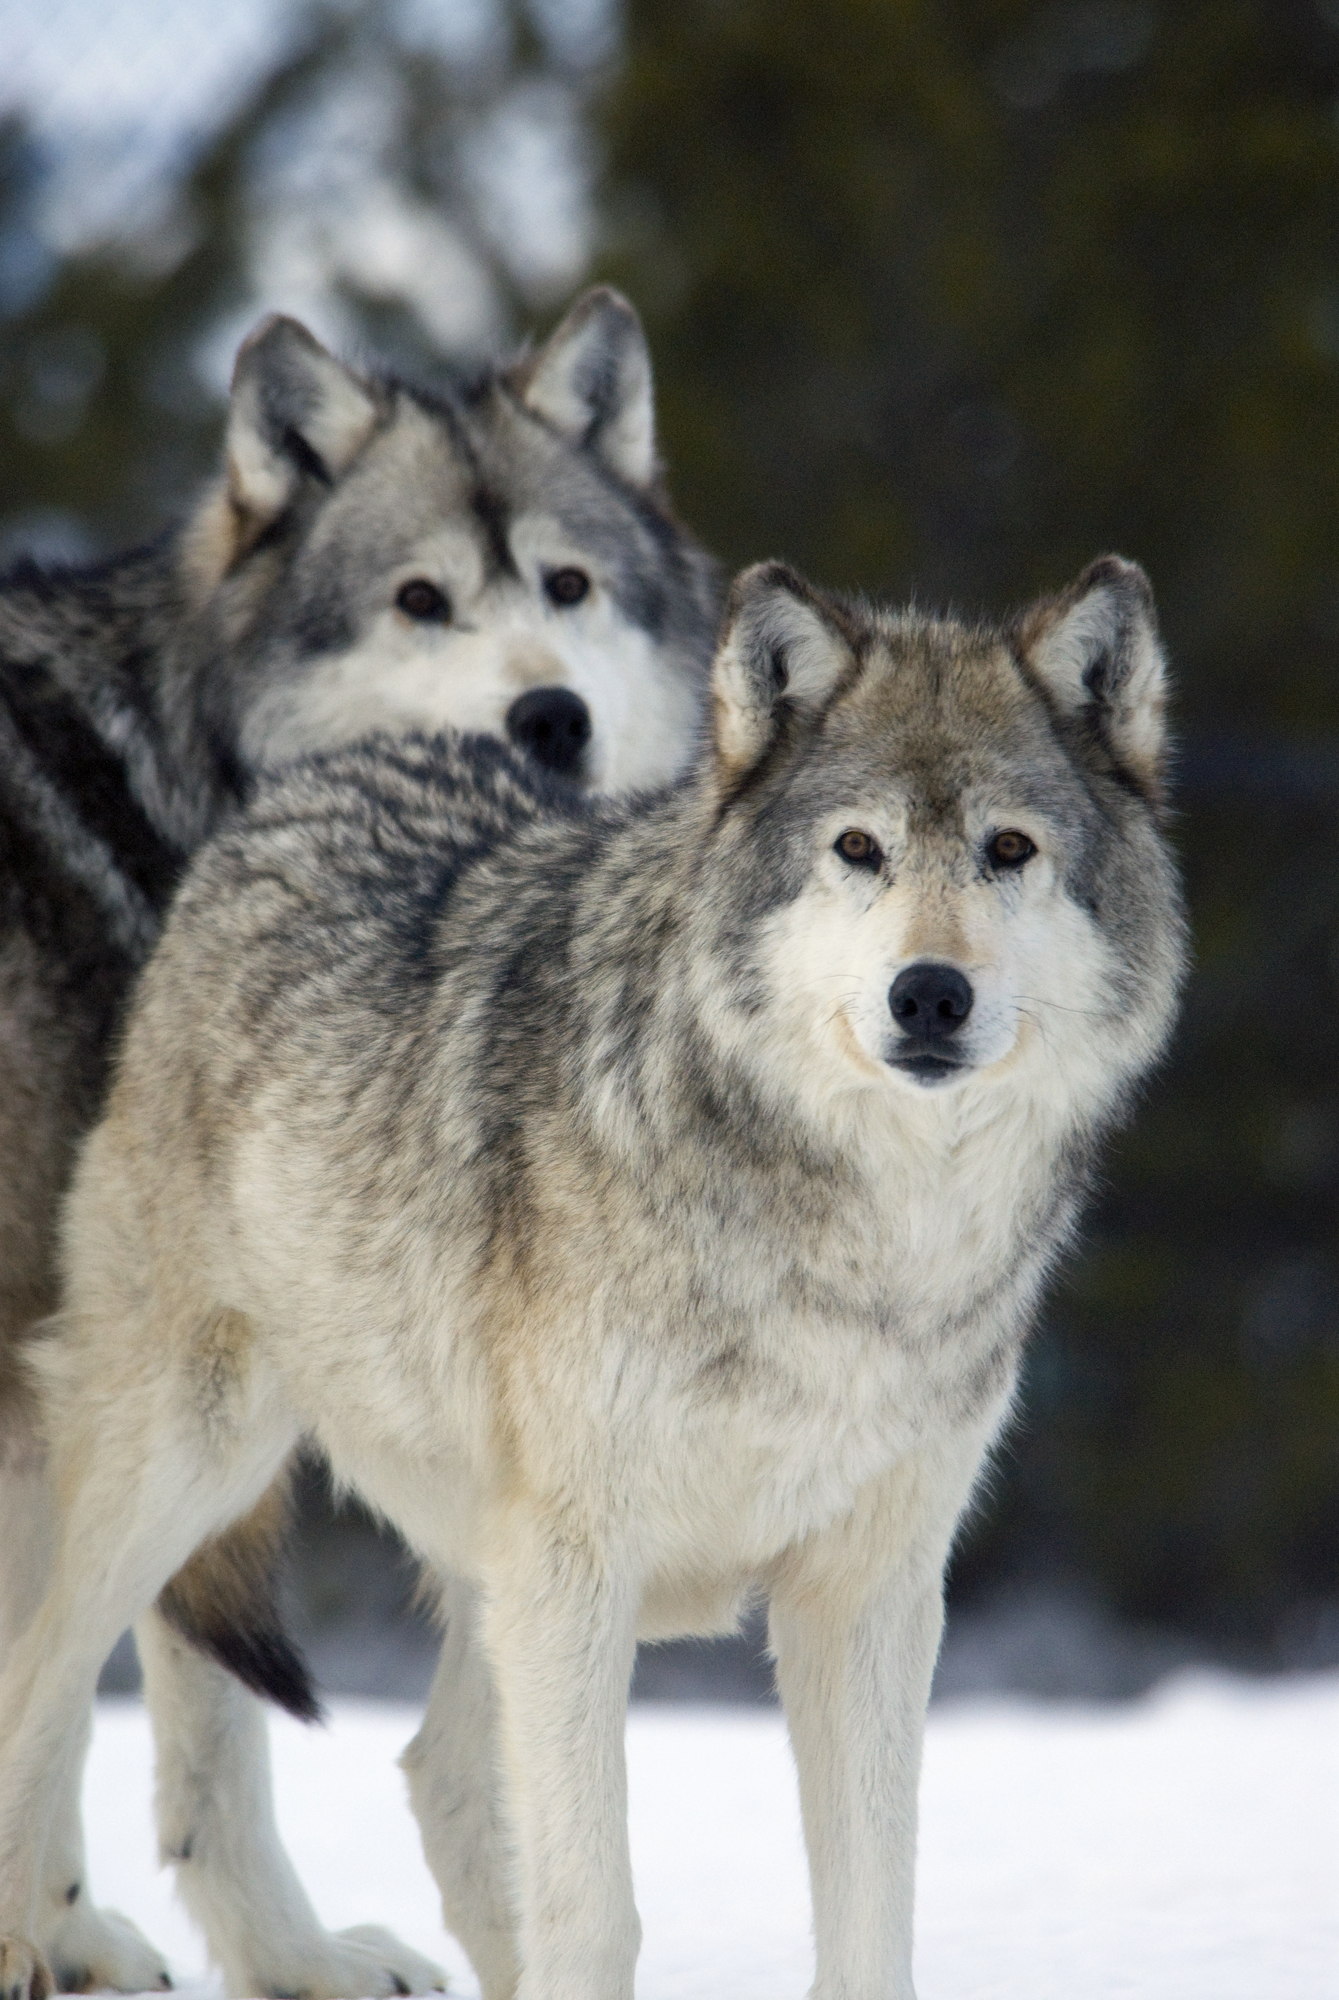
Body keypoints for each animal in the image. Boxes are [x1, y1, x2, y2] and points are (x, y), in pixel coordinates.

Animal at [0, 290, 723, 1992]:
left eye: (567, 586)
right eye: (418, 603)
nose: (549, 712)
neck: (168, 782)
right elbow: (180, 1712)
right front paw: (277, 1957)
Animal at [5, 552, 1191, 2000]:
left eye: (1007, 850)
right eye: (855, 849)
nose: (928, 995)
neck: (855, 1237)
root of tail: (306, 787)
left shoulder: (866, 1588)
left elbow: (868, 1914)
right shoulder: (578, 1564)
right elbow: (595, 1908)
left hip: (467, 1562)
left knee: (441, 1773)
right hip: (190, 1468)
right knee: (40, 1693)